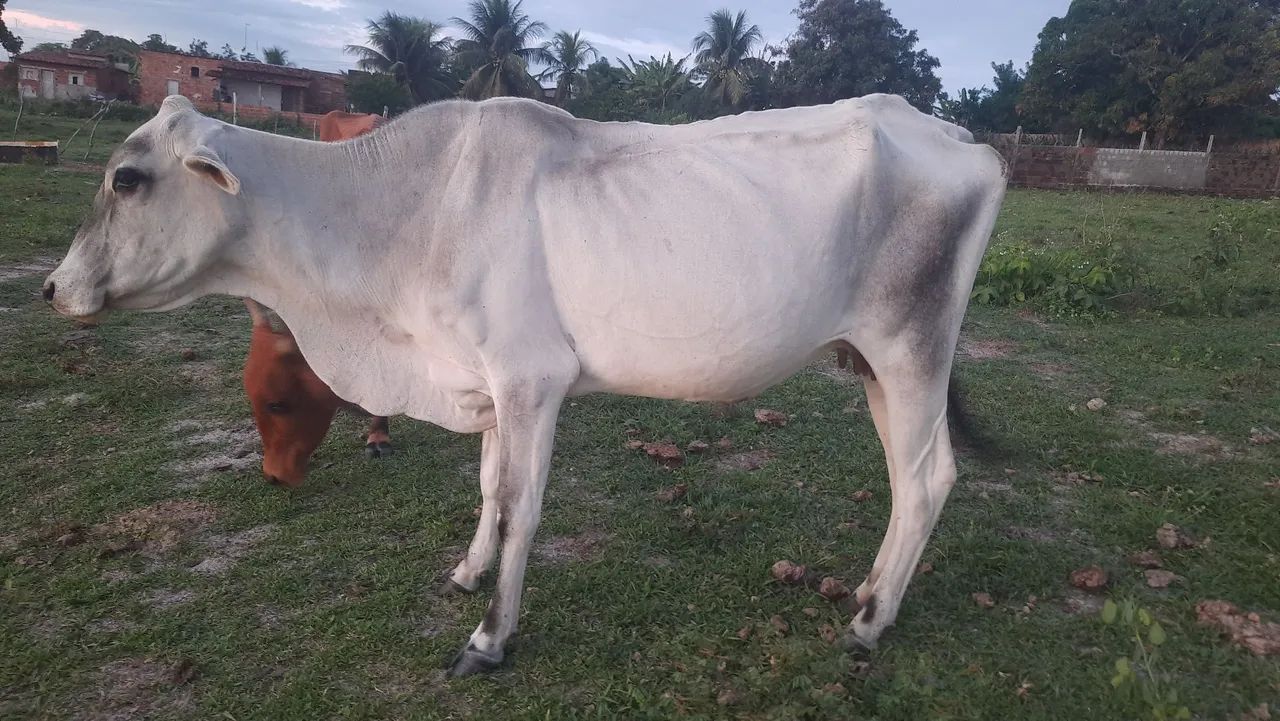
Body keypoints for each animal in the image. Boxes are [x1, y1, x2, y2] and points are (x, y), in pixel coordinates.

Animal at [43, 94, 1008, 677]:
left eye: (127, 178)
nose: (54, 288)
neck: (404, 213)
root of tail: (961, 139)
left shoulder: (531, 380)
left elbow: (520, 507)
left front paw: (488, 638)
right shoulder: (491, 385)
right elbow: (485, 489)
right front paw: (469, 573)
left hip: (912, 352)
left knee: (928, 479)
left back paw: (871, 619)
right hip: (874, 364)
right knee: (907, 482)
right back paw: (867, 592)